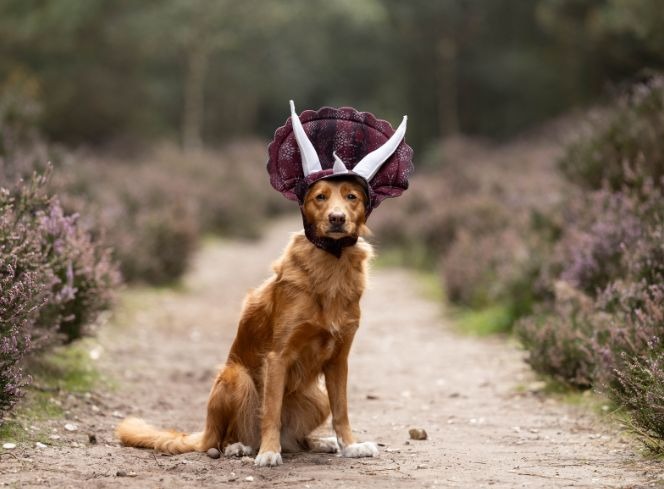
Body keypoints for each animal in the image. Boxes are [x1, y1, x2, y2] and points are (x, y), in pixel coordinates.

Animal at [116, 177, 378, 468]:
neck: (331, 264)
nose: (337, 218)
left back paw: (320, 443)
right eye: (320, 197)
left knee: (298, 440)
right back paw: (240, 447)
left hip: (317, 397)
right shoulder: (278, 357)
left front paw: (351, 446)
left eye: (352, 197)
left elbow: (341, 411)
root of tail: (205, 432)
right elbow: (271, 412)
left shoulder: (338, 360)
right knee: (224, 439)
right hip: (236, 377)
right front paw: (269, 451)